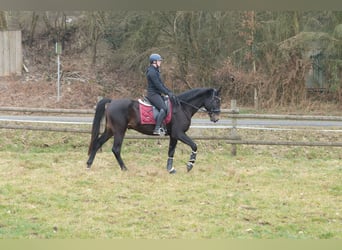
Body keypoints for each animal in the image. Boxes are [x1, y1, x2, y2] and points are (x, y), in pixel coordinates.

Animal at [86, 88, 222, 174]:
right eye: (216, 100)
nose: (216, 118)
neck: (182, 107)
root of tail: (112, 101)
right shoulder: (179, 133)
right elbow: (194, 145)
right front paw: (190, 165)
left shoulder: (173, 136)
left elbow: (171, 151)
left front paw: (170, 169)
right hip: (119, 131)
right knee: (116, 149)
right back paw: (124, 168)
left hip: (110, 130)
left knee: (97, 143)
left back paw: (89, 164)